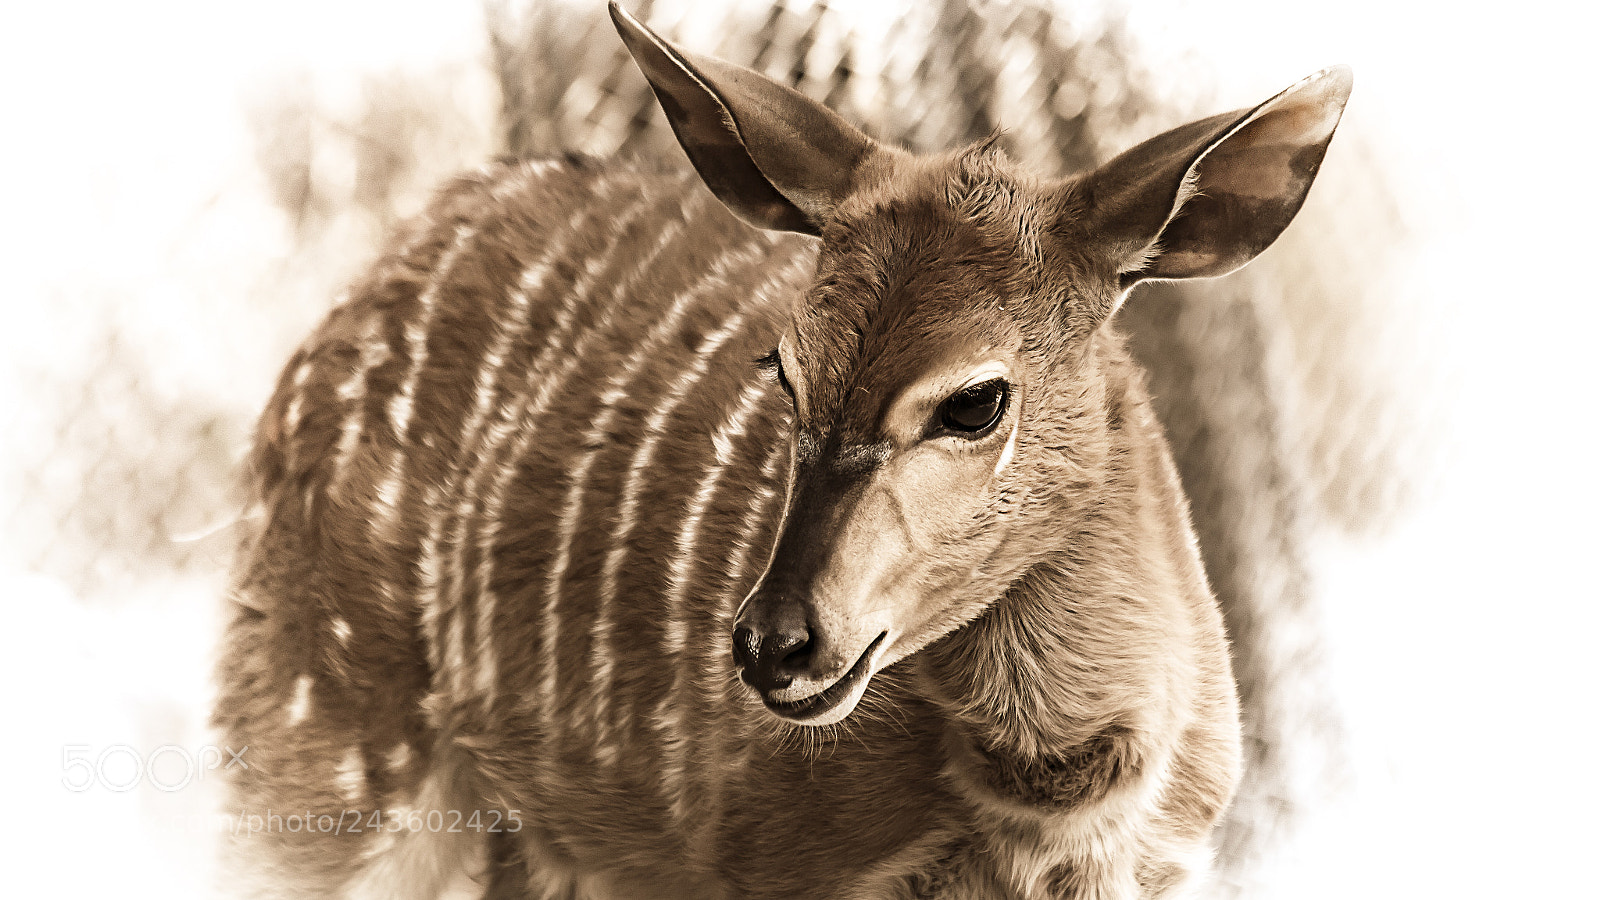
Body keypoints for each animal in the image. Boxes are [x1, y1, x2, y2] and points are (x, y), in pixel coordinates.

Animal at [212, 3, 1351, 897]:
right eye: (784, 367)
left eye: (975, 400)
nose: (773, 645)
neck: (1054, 813)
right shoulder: (768, 864)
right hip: (320, 744)